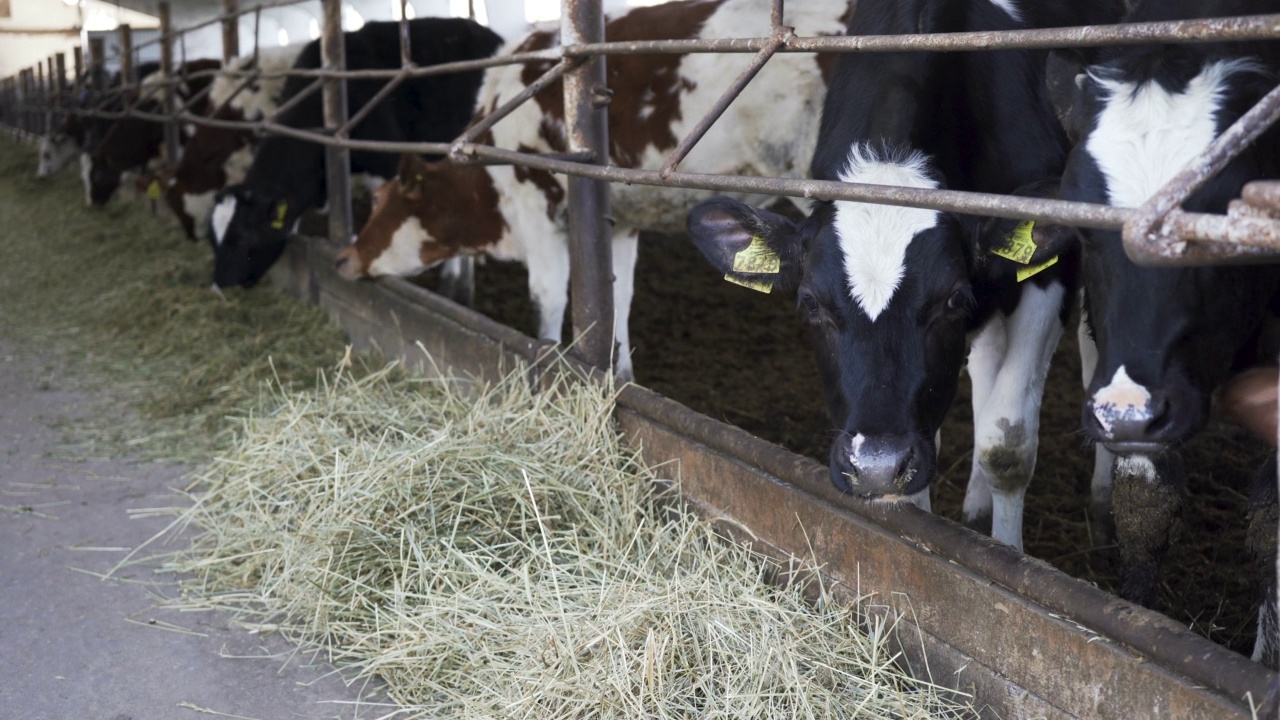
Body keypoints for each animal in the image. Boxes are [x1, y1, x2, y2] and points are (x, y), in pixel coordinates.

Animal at [337, 0, 849, 379]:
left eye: (380, 201)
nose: (342, 256)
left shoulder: (536, 206)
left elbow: (548, 298)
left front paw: (547, 360)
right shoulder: (619, 223)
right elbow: (616, 302)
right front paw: (620, 378)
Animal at [691, 0, 1121, 545]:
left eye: (952, 299)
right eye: (809, 304)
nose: (876, 466)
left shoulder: (1049, 273)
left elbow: (1008, 446)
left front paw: (1006, 551)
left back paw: (1104, 494)